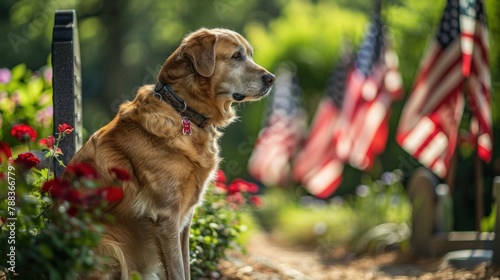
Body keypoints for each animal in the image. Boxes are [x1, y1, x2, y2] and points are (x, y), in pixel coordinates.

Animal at [68, 27, 276, 278]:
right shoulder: (166, 217)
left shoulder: (184, 219)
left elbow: (186, 266)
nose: (271, 78)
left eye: (250, 55)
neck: (184, 111)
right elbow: (177, 271)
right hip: (109, 247)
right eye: (237, 56)